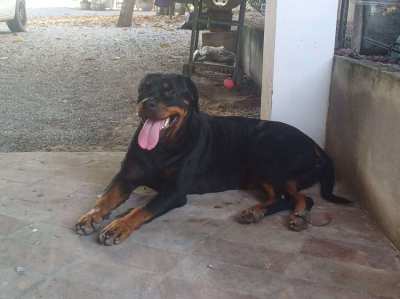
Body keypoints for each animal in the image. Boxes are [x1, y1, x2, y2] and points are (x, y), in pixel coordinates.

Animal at [76, 73, 350, 246]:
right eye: (144, 89)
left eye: (169, 91)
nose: (147, 103)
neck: (162, 147)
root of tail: (314, 144)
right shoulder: (126, 175)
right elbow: (106, 197)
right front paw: (91, 216)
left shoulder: (175, 191)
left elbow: (143, 208)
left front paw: (118, 226)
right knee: (284, 196)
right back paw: (260, 212)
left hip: (266, 151)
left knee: (297, 197)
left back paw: (293, 215)